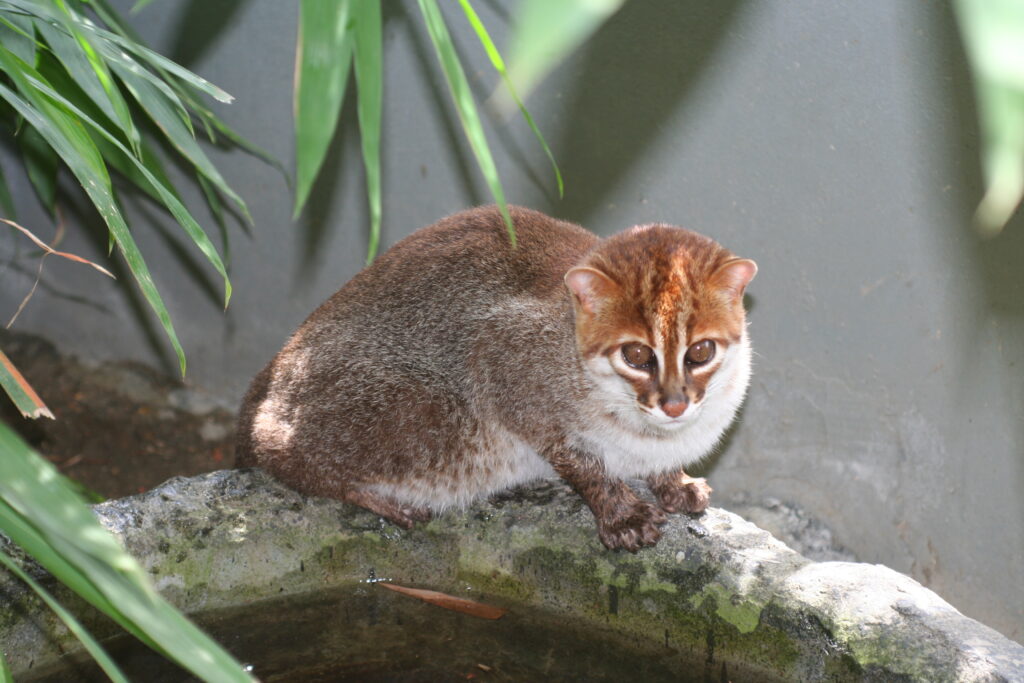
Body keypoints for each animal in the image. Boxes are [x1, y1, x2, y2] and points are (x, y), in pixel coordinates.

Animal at [235, 205, 757, 552]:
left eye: (701, 352)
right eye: (636, 355)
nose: (674, 404)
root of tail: (267, 378)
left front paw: (674, 482)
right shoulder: (499, 357)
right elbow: (580, 462)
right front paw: (620, 509)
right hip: (426, 415)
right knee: (282, 453)